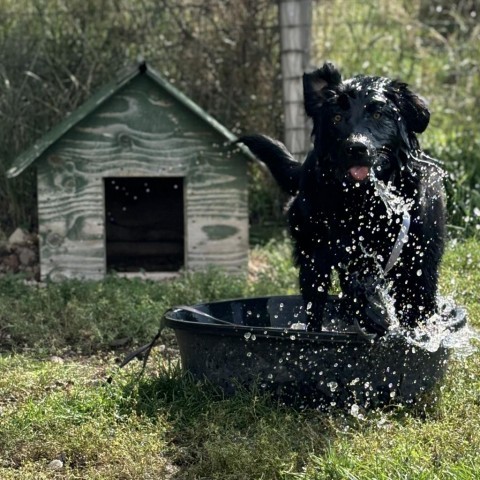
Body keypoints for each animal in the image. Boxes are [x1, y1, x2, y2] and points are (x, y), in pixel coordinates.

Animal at [240, 62, 446, 334]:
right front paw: (376, 318)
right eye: (337, 118)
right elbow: (361, 293)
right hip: (312, 259)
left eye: (378, 115)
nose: (356, 148)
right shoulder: (349, 256)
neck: (371, 204)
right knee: (316, 305)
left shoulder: (420, 259)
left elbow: (419, 302)